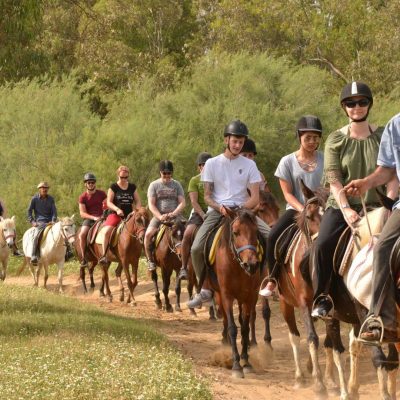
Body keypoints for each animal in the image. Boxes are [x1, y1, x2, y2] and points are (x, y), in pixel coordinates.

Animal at [209, 206, 262, 378]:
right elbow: (233, 328)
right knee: (226, 320)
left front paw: (246, 361)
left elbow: (244, 328)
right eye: (235, 232)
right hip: (220, 294)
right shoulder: (227, 295)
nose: (251, 264)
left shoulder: (250, 296)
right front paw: (236, 365)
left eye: (256, 231)